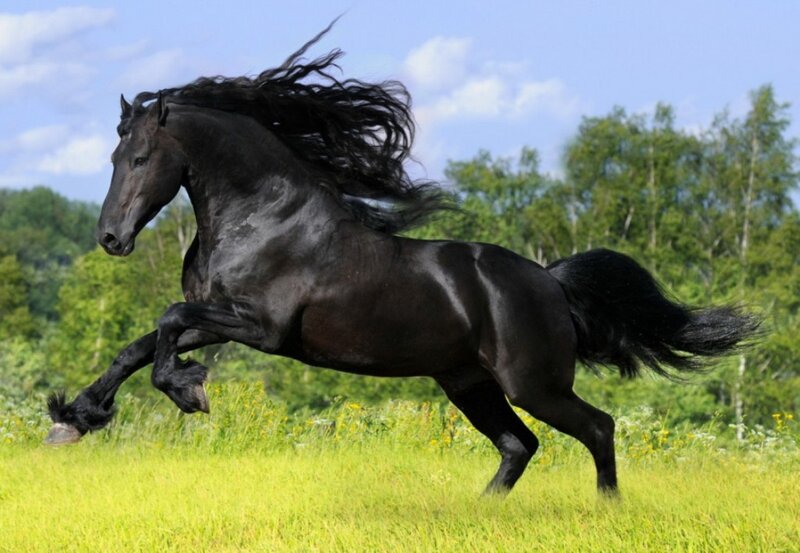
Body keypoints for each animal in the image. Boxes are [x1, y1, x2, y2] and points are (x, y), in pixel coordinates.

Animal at [45, 25, 758, 496]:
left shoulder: (261, 327)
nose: (111, 238)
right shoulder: (219, 315)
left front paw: (188, 391)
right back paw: (482, 513)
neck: (263, 217)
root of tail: (551, 283)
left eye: (141, 158)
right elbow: (138, 346)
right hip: (469, 383)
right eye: (113, 156)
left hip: (533, 383)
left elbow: (166, 323)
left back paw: (606, 510)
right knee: (519, 445)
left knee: (597, 428)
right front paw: (74, 419)